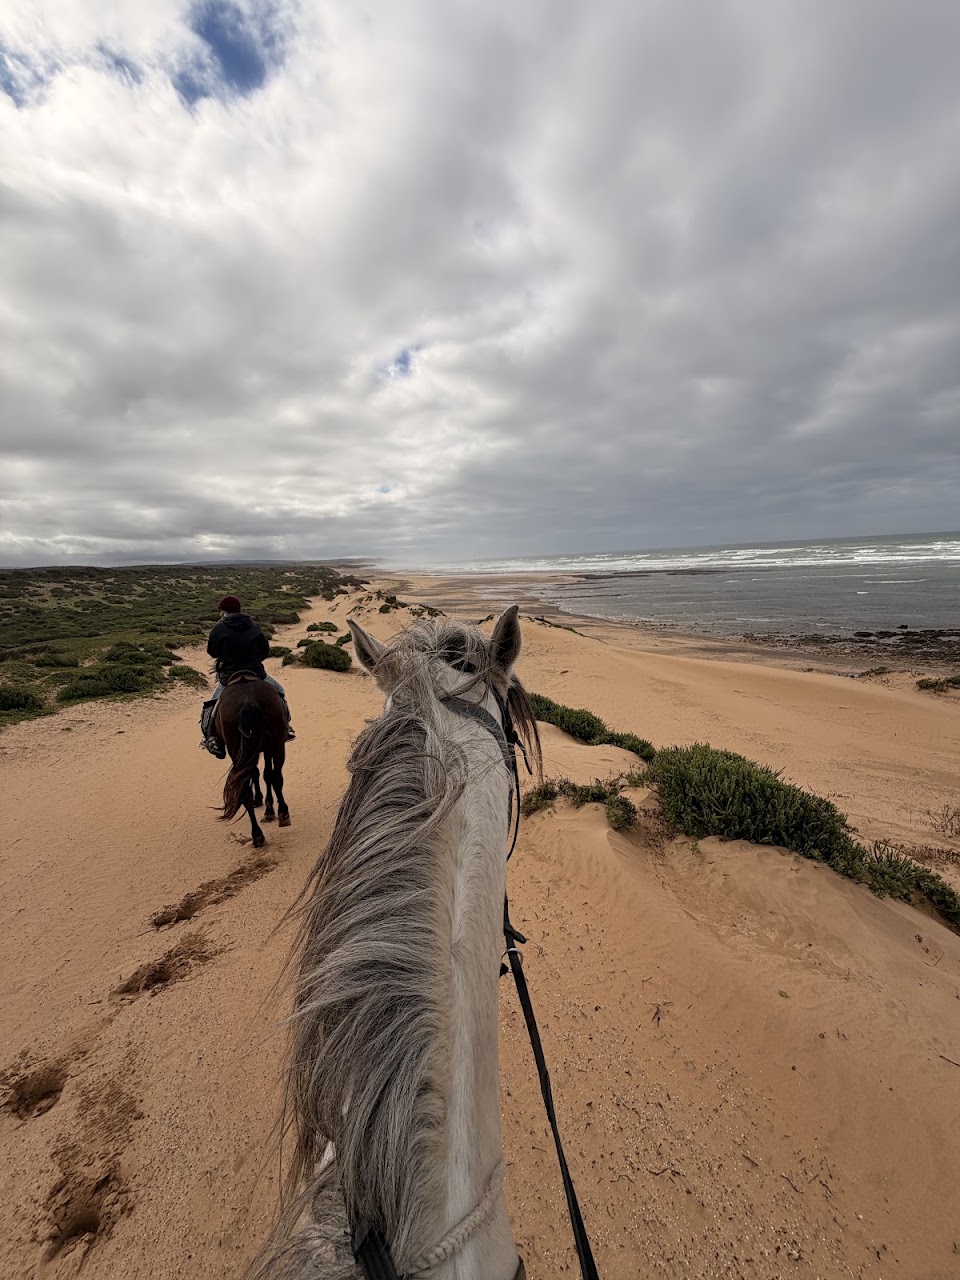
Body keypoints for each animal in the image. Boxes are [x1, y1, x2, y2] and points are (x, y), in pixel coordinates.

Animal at [216, 673, 291, 847]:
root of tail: (248, 699)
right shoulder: (263, 748)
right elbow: (266, 774)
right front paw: (268, 807)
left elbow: (262, 774)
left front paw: (265, 804)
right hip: (276, 743)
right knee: (275, 776)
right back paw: (280, 814)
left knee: (248, 787)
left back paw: (258, 833)